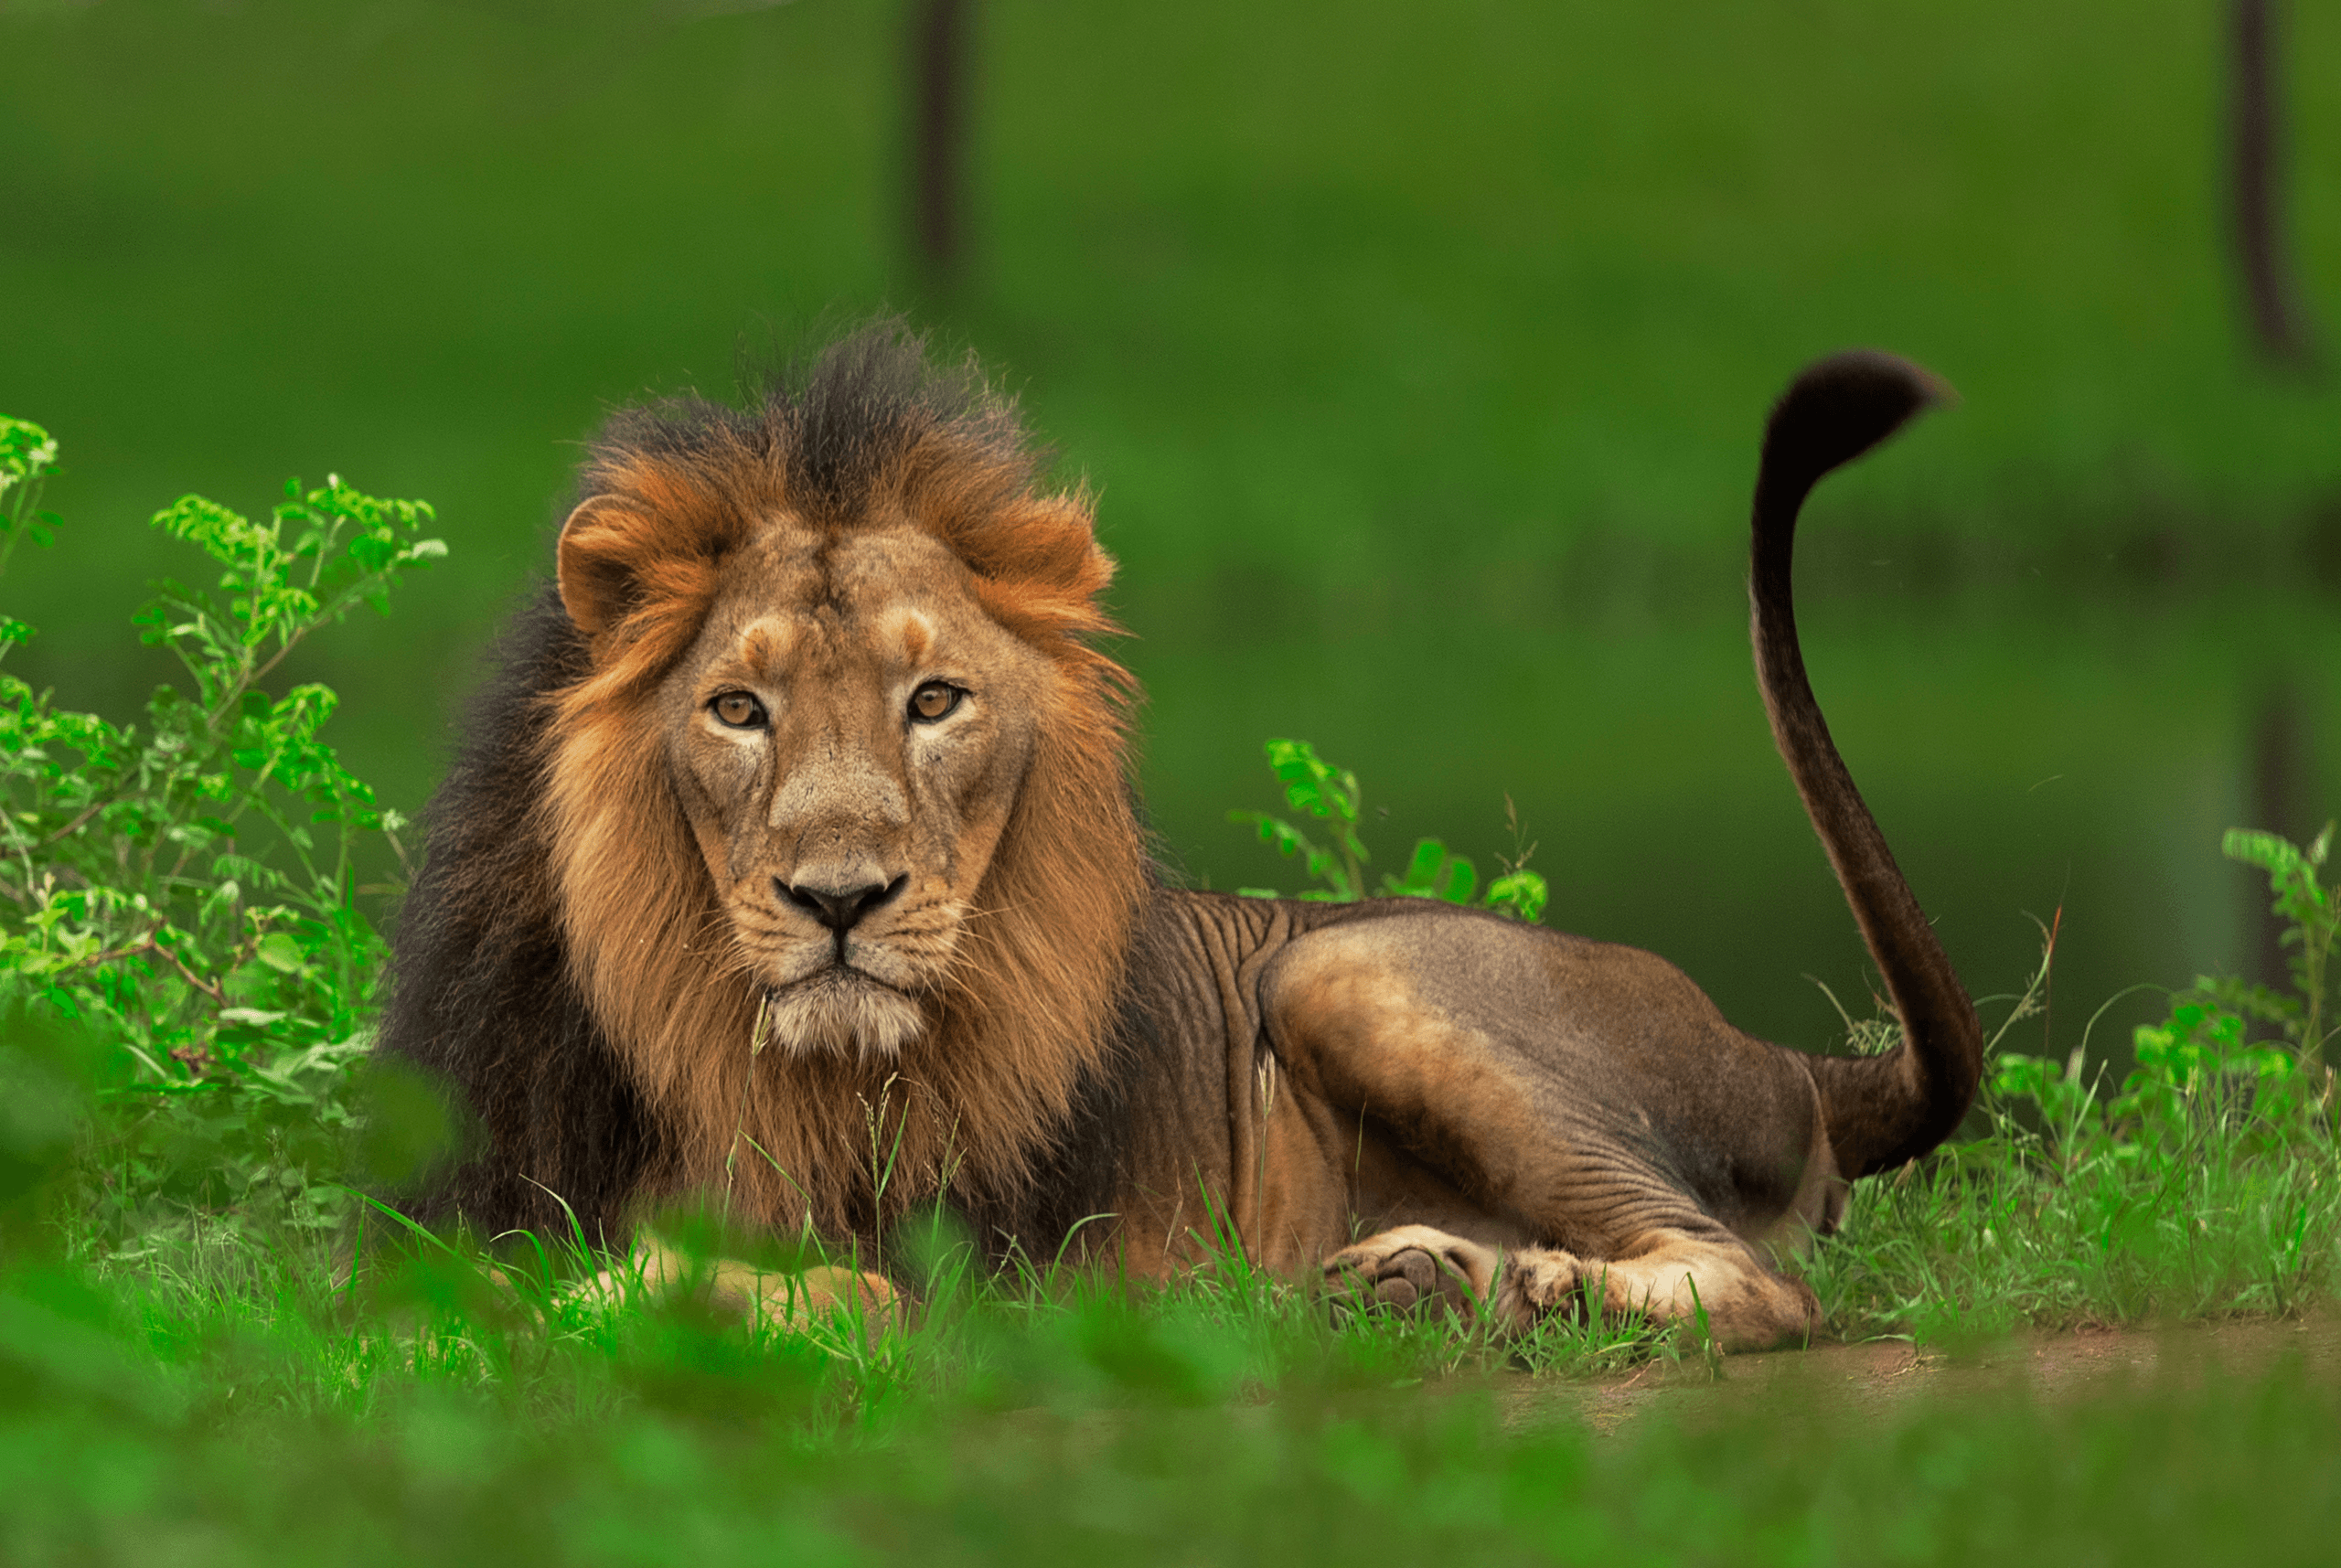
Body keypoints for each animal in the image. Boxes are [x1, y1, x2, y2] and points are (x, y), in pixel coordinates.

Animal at [381, 327, 1980, 1350]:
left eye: (934, 700)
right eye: (736, 707)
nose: (843, 897)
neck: (728, 1045)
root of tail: (1785, 1059)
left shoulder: (967, 1279)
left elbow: (775, 1290)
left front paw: (575, 1300)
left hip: (1343, 969)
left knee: (1767, 1284)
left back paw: (1537, 1293)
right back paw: (1413, 1284)